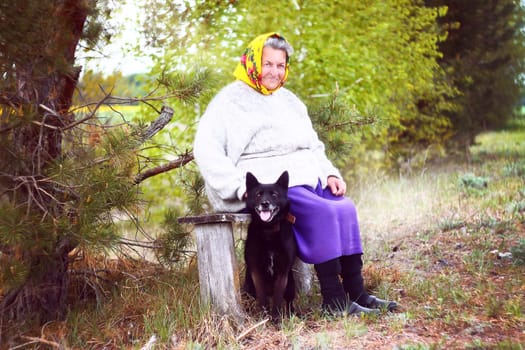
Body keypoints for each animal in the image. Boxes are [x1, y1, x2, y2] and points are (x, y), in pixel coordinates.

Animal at [242, 170, 294, 320]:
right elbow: (262, 298)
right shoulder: (256, 271)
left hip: (291, 285)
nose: (265, 203)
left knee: (289, 302)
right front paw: (263, 318)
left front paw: (276, 319)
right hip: (247, 287)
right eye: (258, 194)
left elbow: (277, 299)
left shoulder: (283, 273)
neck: (268, 230)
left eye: (274, 195)